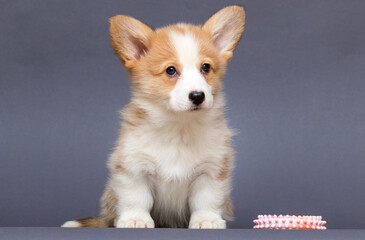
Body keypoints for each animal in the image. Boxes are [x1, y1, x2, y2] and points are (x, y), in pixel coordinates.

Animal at [61, 5, 245, 229]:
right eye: (171, 70)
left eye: (206, 68)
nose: (198, 96)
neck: (178, 127)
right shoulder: (134, 167)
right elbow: (137, 198)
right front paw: (135, 220)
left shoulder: (211, 169)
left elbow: (206, 199)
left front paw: (207, 220)